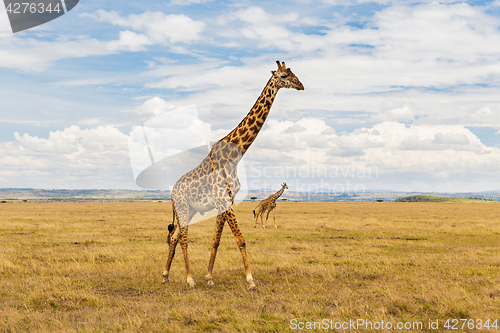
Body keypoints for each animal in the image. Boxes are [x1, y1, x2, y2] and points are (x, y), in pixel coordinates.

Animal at [164, 61, 304, 290]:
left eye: (294, 74)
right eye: (284, 76)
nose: (301, 85)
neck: (235, 155)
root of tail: (171, 192)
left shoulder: (226, 201)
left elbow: (216, 240)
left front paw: (209, 278)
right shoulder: (223, 199)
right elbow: (241, 239)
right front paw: (250, 280)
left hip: (190, 209)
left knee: (174, 237)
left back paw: (166, 275)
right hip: (184, 207)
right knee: (183, 238)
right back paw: (190, 280)